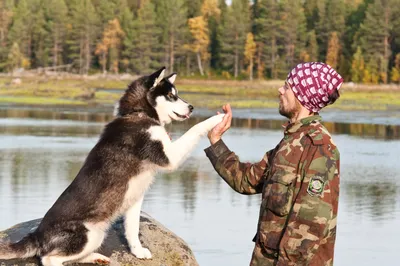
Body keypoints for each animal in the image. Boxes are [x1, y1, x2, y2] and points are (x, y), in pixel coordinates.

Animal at [0, 67, 225, 264]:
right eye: (171, 95)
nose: (192, 107)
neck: (137, 113)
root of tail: (37, 234)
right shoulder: (169, 157)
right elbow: (195, 128)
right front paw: (218, 118)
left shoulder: (135, 196)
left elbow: (132, 229)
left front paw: (137, 252)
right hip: (86, 234)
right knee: (49, 258)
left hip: (98, 234)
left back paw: (95, 257)